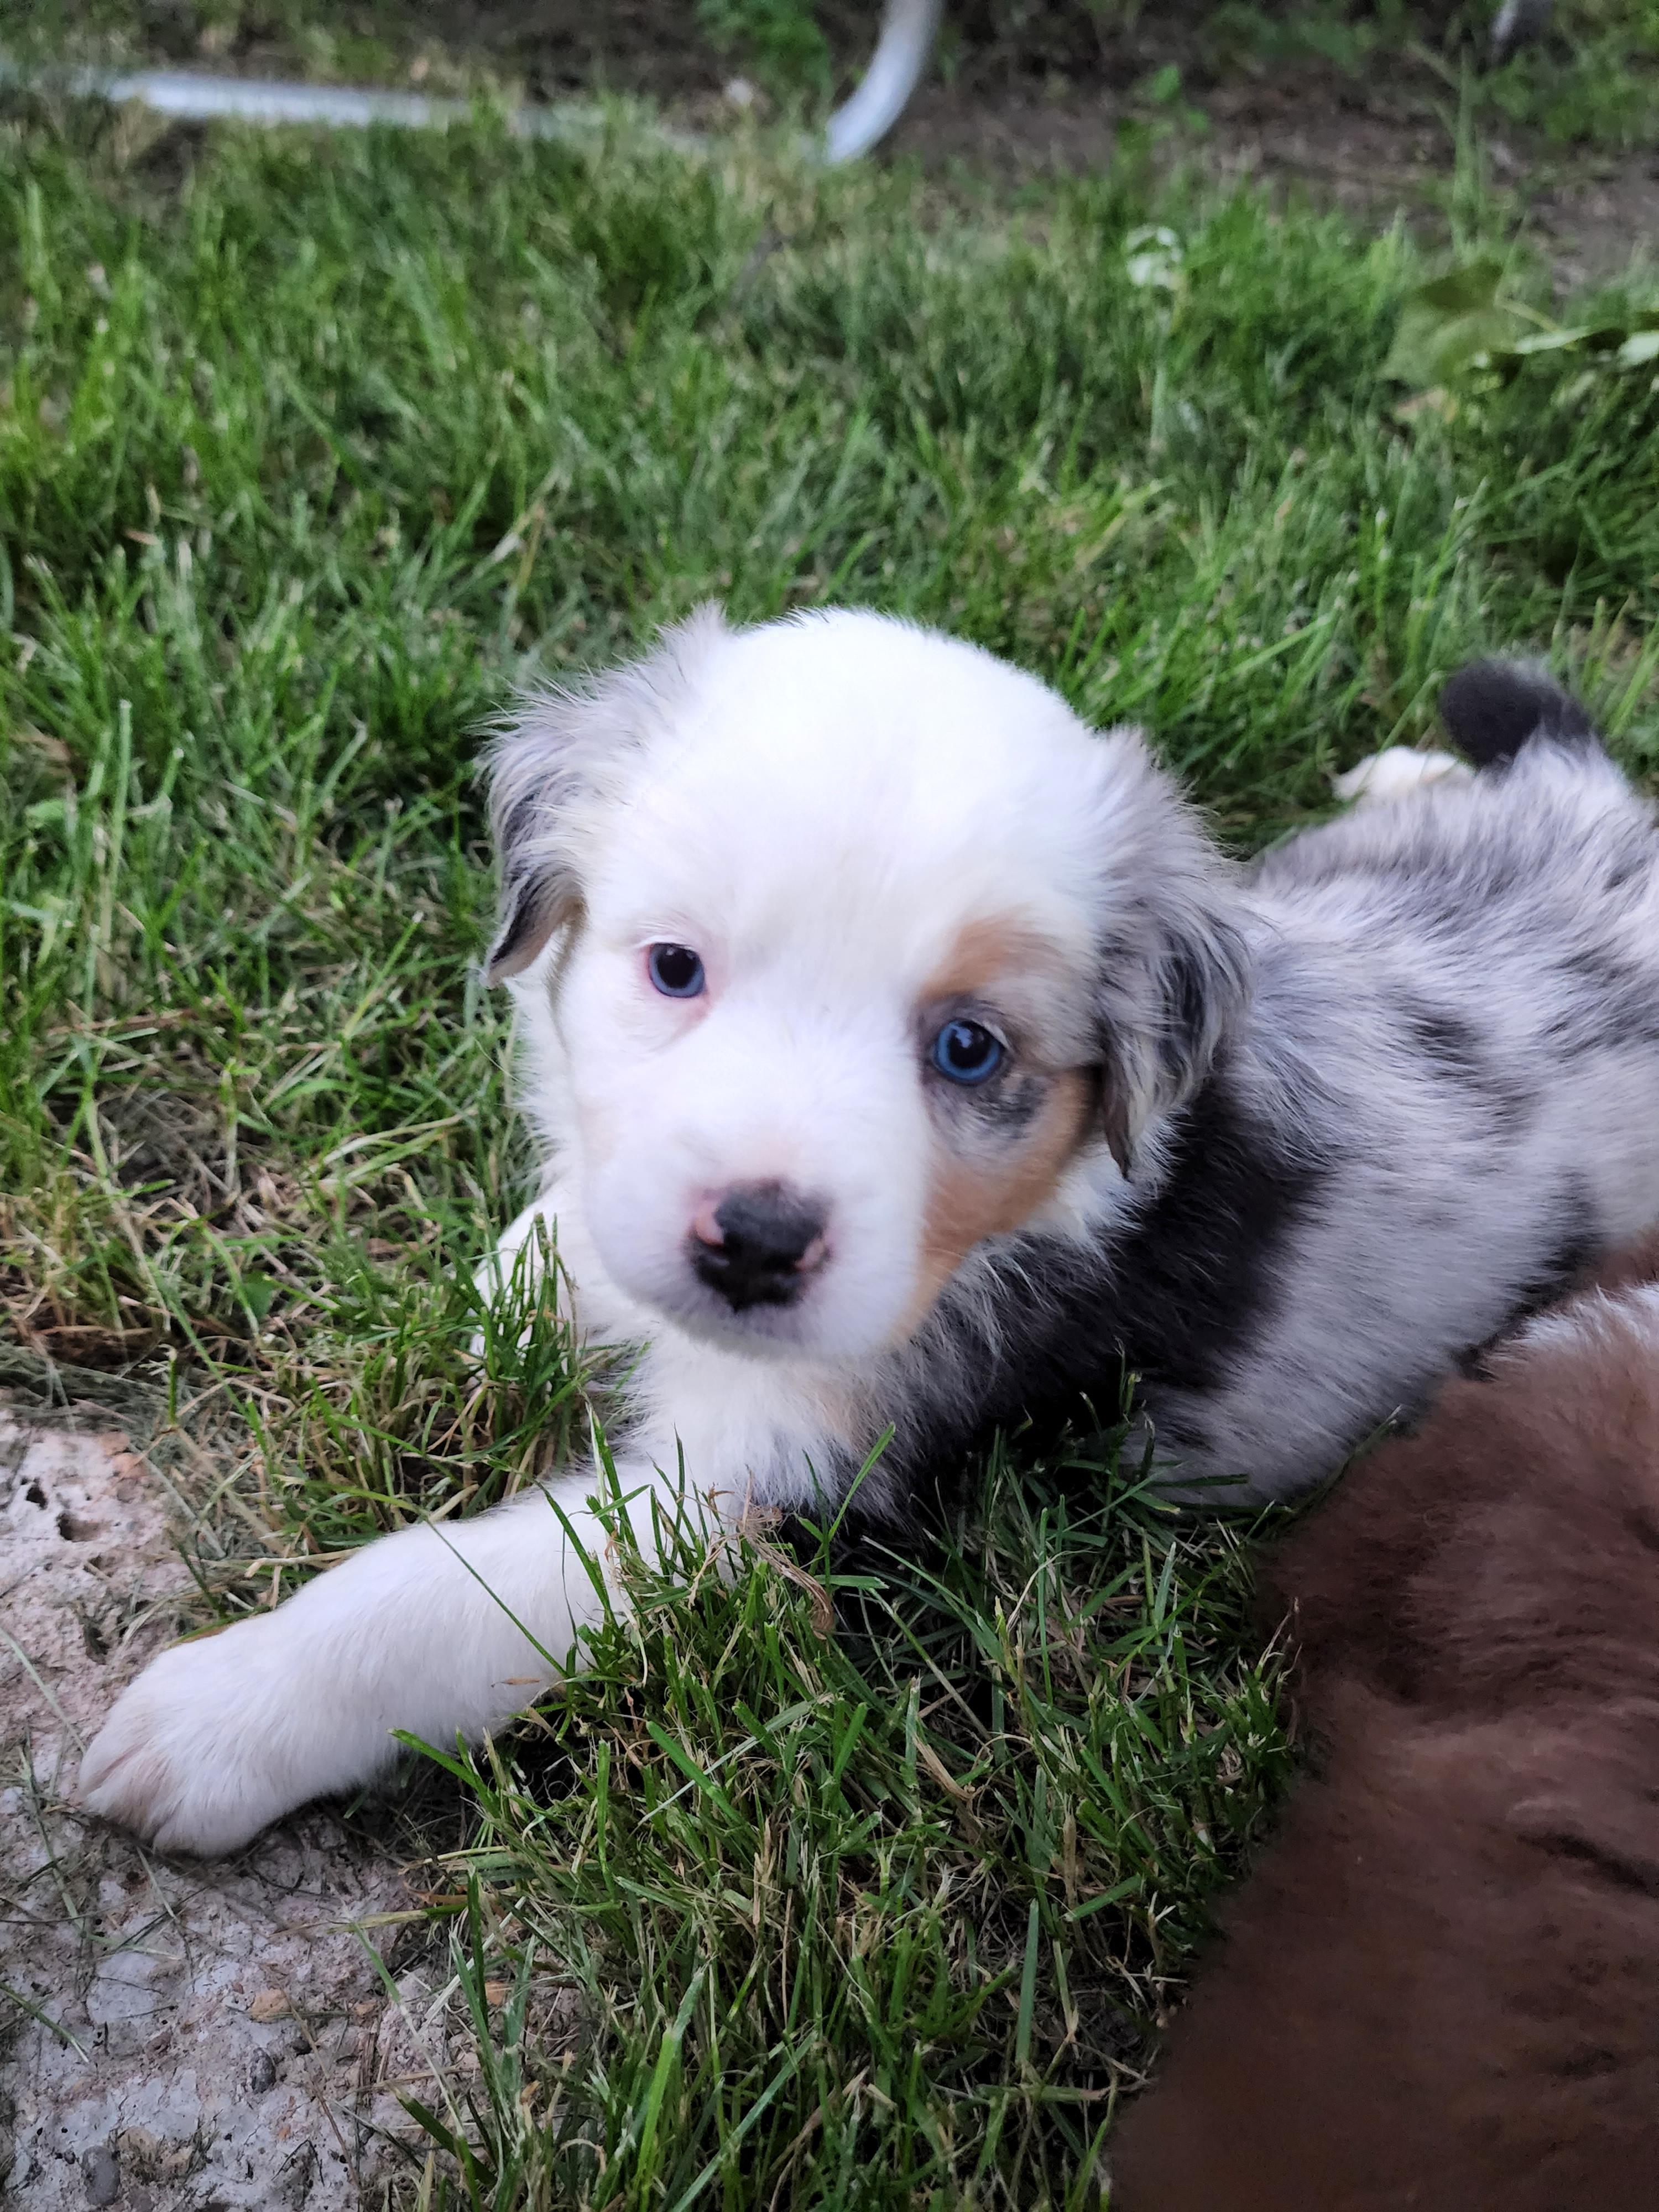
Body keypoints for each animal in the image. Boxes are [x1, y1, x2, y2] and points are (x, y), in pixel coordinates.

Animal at [80, 608, 1659, 1852]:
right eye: (673, 966)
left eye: (968, 1050)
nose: (754, 1241)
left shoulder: (761, 1486)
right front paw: (504, 1296)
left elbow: (446, 1591)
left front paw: (217, 1719)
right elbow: (558, 1240)